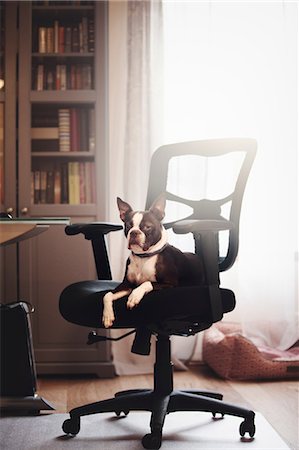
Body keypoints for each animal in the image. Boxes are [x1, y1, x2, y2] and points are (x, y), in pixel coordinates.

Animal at [102, 193, 205, 326]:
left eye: (147, 227)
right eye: (128, 226)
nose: (134, 232)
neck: (144, 257)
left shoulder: (170, 283)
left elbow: (147, 282)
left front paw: (134, 296)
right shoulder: (127, 284)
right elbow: (107, 294)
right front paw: (107, 316)